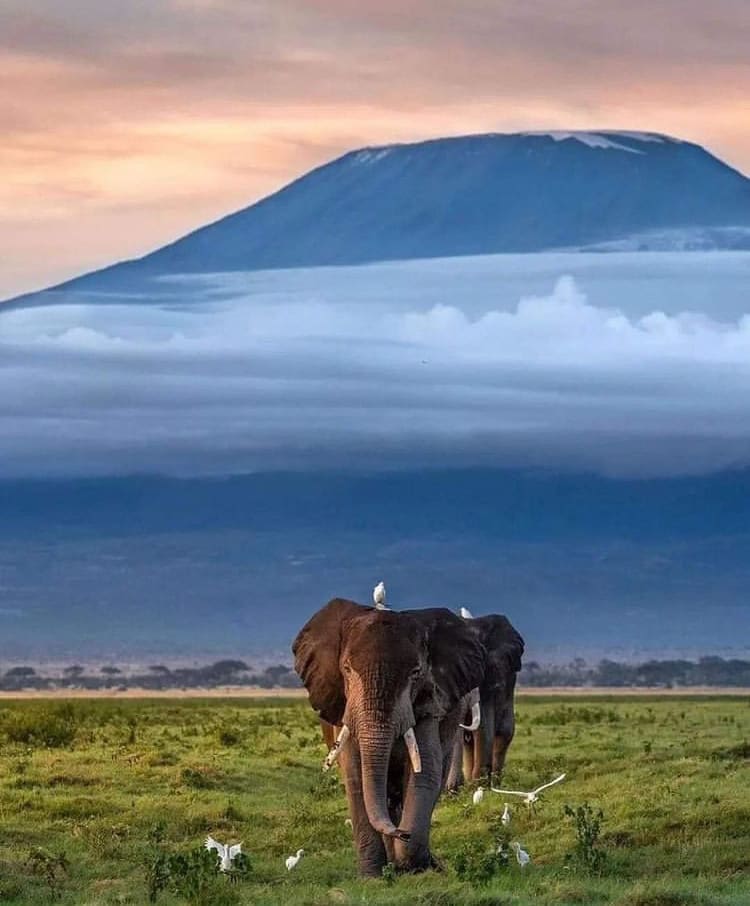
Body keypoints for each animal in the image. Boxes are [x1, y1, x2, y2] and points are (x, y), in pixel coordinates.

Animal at [294, 596, 488, 872]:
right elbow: (355, 773)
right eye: (347, 669)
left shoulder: (430, 702)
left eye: (416, 673)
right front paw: (372, 875)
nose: (402, 832)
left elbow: (425, 769)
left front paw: (414, 865)